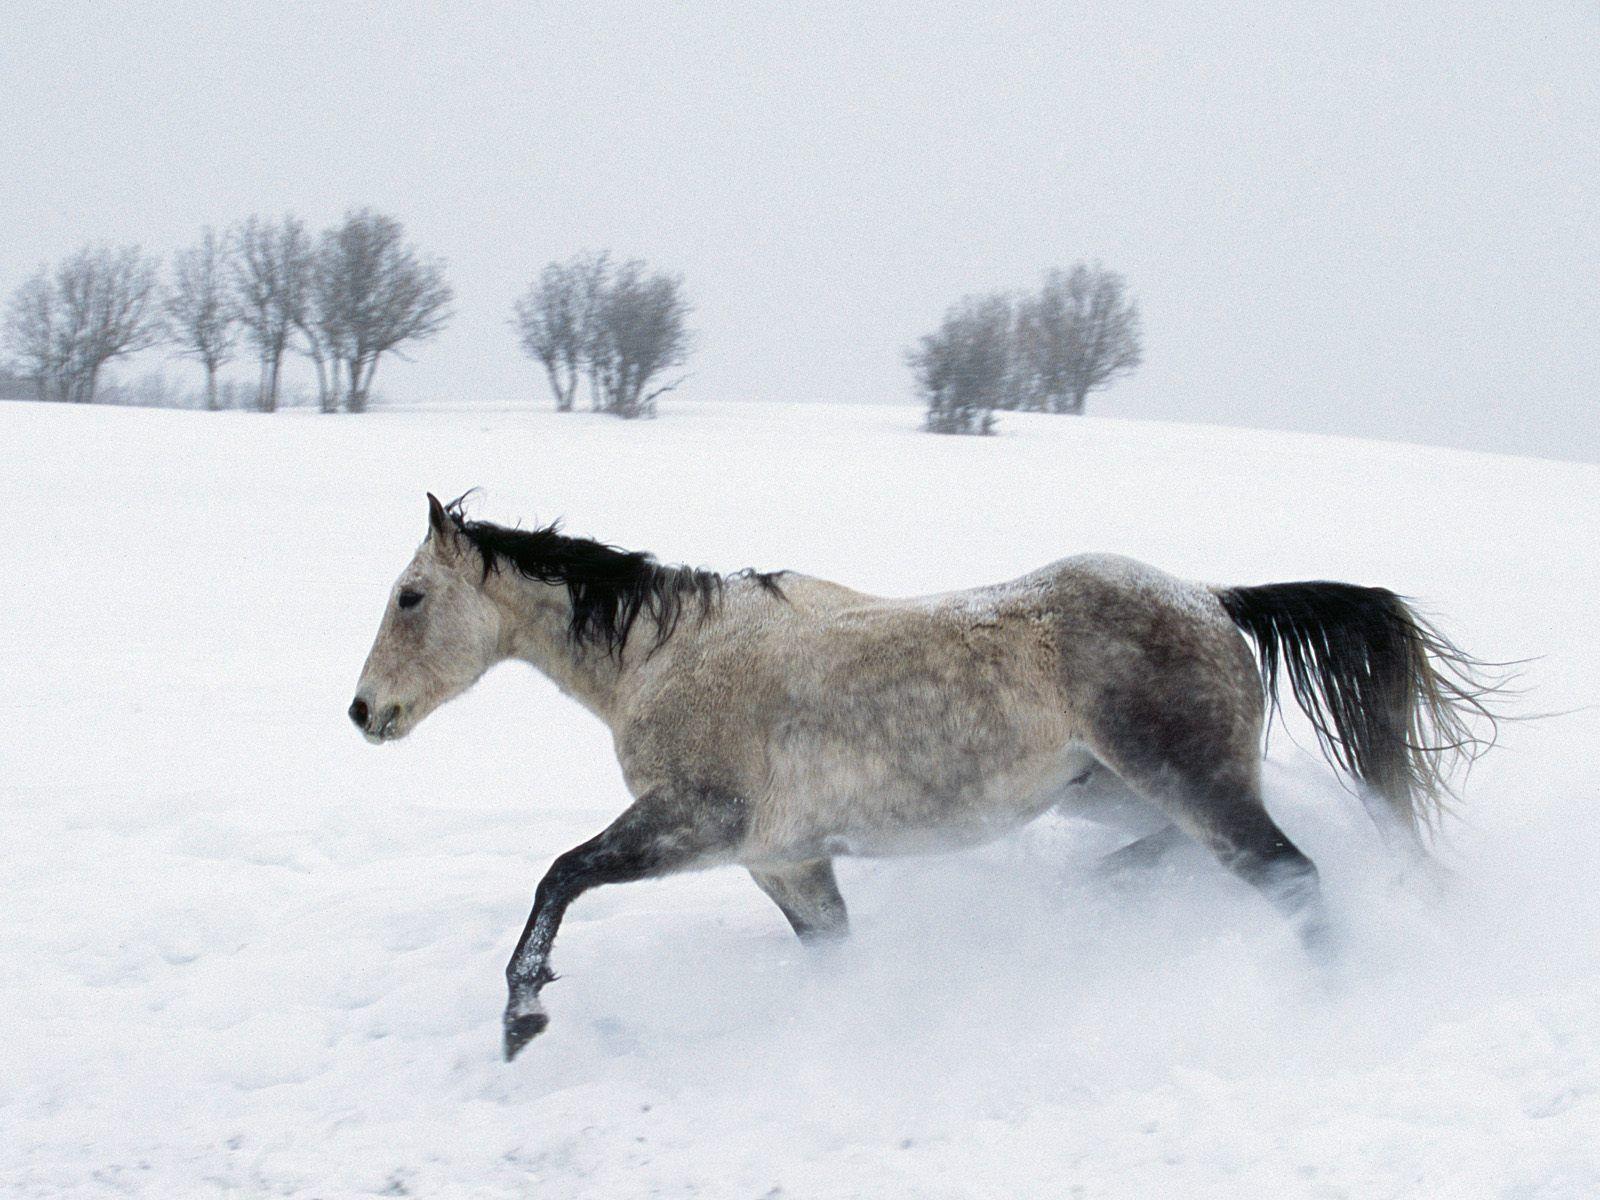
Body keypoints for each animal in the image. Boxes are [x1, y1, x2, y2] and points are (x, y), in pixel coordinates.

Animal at [350, 494, 1501, 1061]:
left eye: (410, 596)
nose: (363, 712)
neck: (669, 658)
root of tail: (1214, 600)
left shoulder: (697, 824)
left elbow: (559, 875)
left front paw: (521, 1019)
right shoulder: (786, 861)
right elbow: (834, 956)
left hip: (1190, 781)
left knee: (1293, 880)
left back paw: (1328, 1004)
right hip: (1114, 791)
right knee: (1183, 853)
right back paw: (1094, 900)